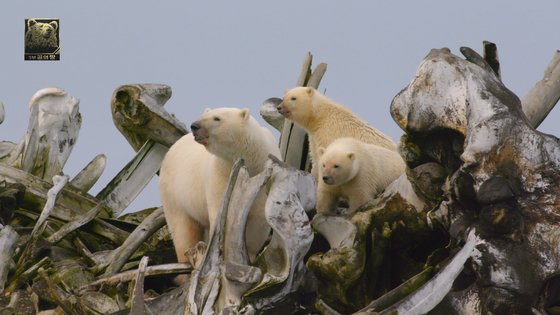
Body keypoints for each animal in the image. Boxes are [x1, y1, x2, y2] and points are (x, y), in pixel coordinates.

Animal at [159, 107, 282, 268]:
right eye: (204, 114)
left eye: (217, 118)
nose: (194, 126)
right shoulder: (221, 172)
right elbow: (223, 212)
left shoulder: (263, 173)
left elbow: (258, 217)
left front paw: (249, 255)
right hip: (174, 192)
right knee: (183, 229)